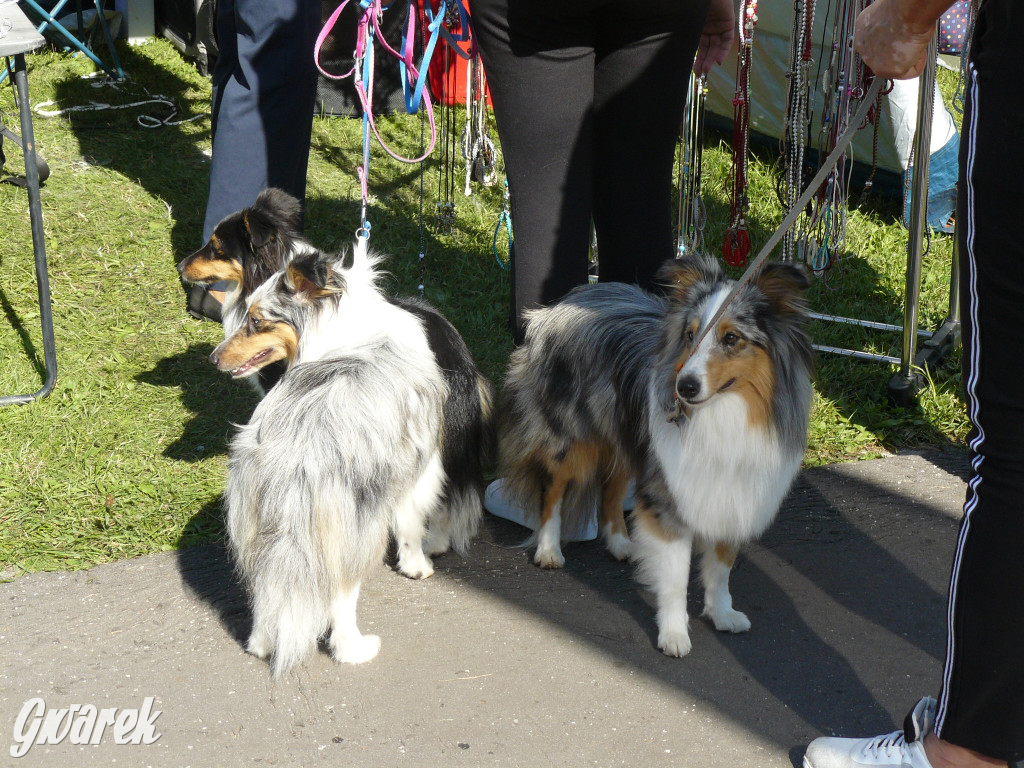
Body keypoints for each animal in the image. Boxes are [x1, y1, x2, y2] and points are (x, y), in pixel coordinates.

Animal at [209, 246, 489, 679]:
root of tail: (295, 459)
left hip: (253, 525)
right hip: (347, 532)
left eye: (256, 321)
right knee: (340, 597)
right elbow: (414, 521)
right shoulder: (421, 467)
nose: (213, 358)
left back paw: (261, 644)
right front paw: (418, 564)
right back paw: (356, 649)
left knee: (265, 595)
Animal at [499, 256, 811, 659]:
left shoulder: (732, 493)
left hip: (626, 436)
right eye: (690, 335)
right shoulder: (668, 497)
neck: (722, 411)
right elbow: (675, 577)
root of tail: (570, 298)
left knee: (612, 489)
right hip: (571, 439)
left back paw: (620, 544)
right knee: (553, 491)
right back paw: (549, 549)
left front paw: (722, 613)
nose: (685, 387)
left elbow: (721, 568)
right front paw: (674, 634)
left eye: (731, 338)